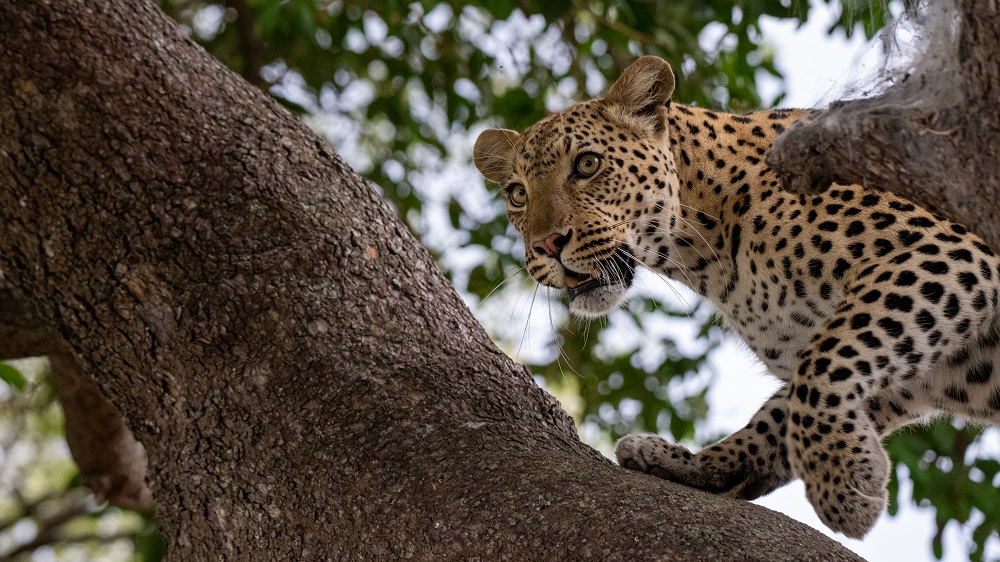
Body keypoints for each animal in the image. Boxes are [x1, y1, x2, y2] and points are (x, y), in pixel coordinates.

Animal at [473, 55, 1000, 539]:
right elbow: (779, 418)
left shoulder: (948, 252)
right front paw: (687, 464)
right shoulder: (909, 377)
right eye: (518, 194)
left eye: (587, 164)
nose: (546, 244)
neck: (708, 253)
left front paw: (843, 482)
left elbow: (822, 366)